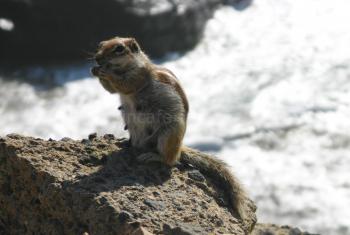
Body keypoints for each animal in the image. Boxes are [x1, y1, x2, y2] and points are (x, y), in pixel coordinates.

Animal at [90, 36, 254, 231]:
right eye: (100, 45)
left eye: (119, 49)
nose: (97, 58)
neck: (125, 66)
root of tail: (179, 147)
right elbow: (112, 89)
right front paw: (95, 70)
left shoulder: (139, 75)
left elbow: (125, 84)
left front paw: (104, 72)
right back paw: (125, 144)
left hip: (168, 135)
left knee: (170, 160)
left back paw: (152, 156)